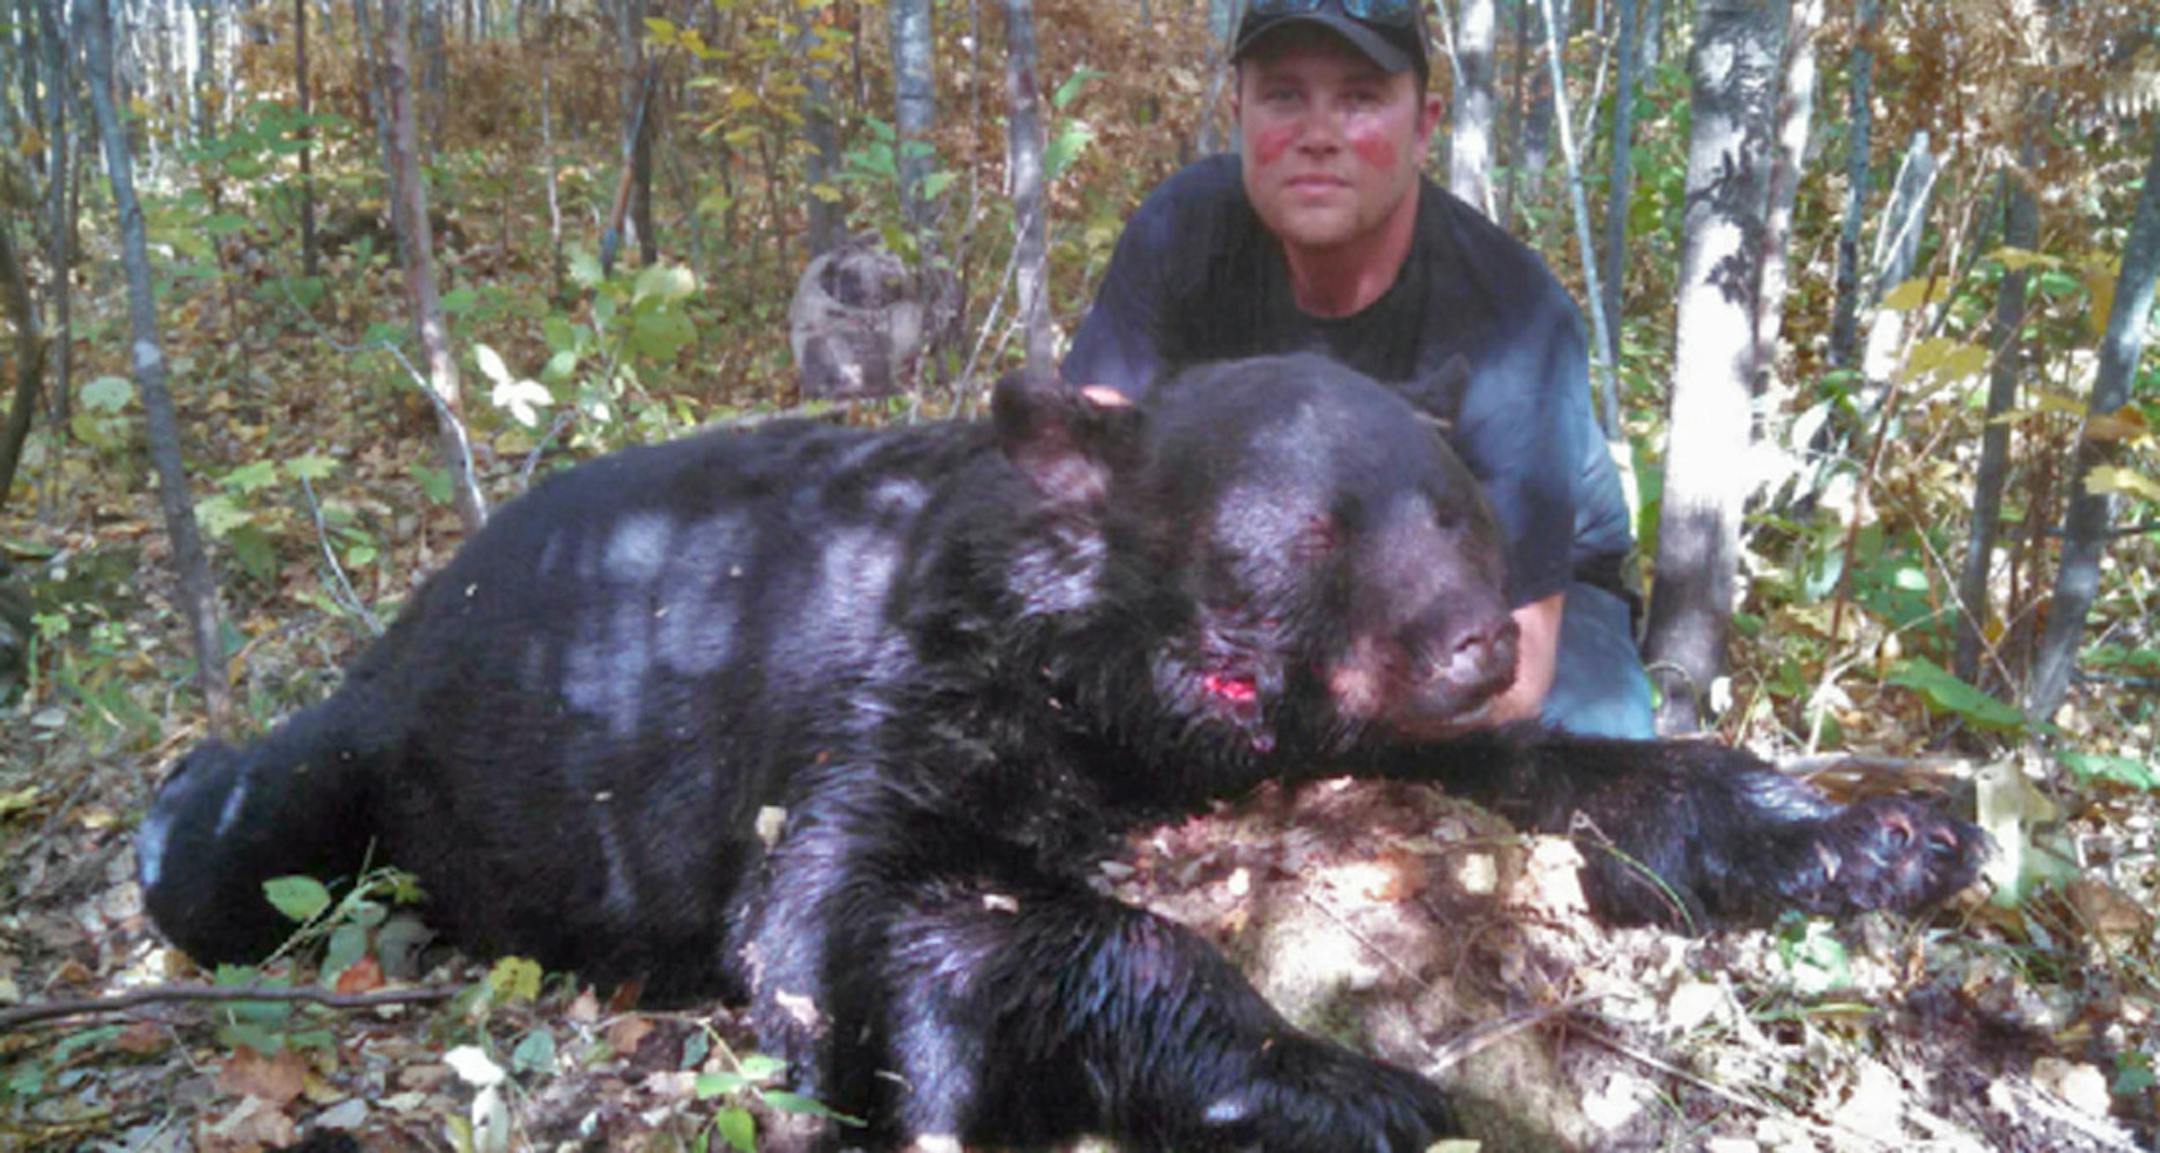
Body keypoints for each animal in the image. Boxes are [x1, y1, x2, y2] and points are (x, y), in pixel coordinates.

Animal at [137, 354, 1985, 1151]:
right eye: (1319, 526)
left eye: (1455, 506)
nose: (1470, 642)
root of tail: (414, 607)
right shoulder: (901, 708)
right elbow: (856, 912)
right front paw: (1328, 1075)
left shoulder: (1346, 728)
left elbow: (1571, 775)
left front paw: (1877, 830)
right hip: (357, 764)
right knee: (227, 833)